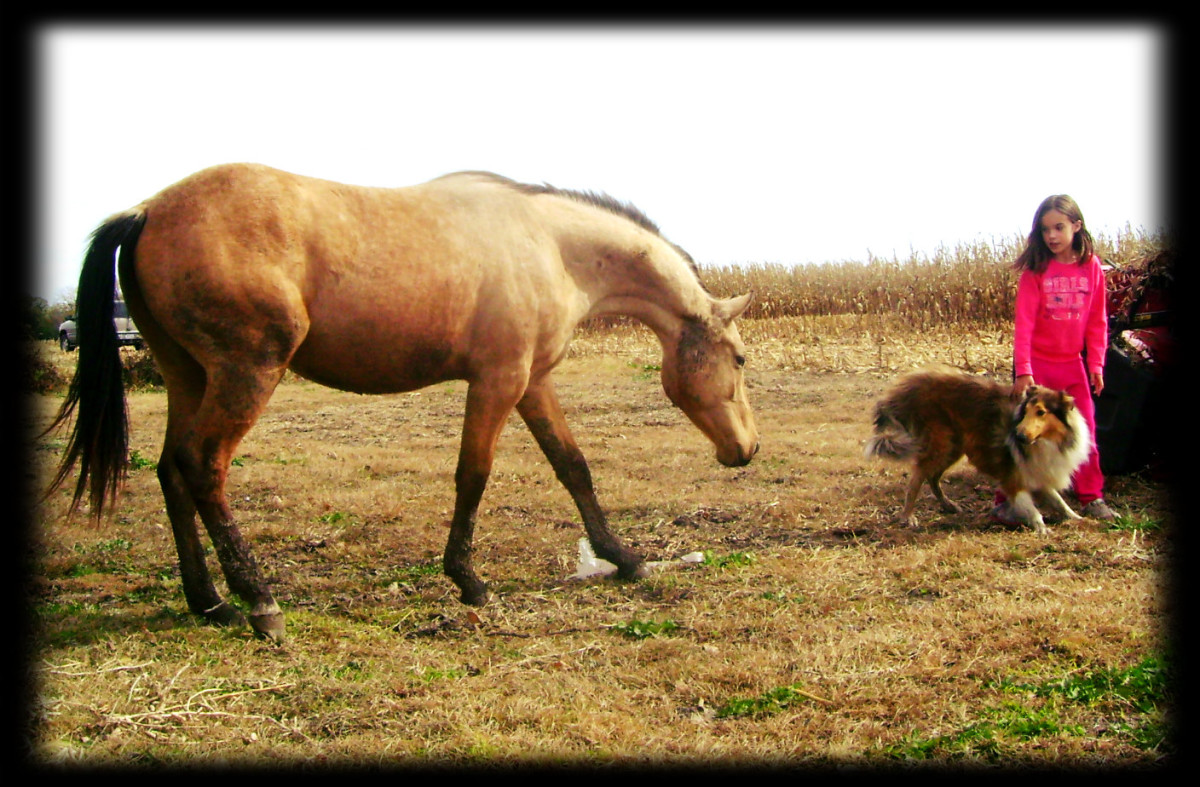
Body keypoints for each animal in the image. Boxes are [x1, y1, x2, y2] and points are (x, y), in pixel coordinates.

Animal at [49, 164, 758, 638]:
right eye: (741, 359)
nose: (747, 449)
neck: (553, 247)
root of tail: (146, 210)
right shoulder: (498, 381)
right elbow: (474, 475)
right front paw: (469, 581)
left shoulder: (532, 382)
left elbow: (573, 466)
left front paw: (624, 557)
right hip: (245, 373)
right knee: (204, 467)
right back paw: (259, 603)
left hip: (187, 376)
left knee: (171, 470)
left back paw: (209, 601)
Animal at [868, 364, 1094, 532]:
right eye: (1026, 411)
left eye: (1041, 412)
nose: (1018, 436)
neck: (1046, 441)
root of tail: (914, 384)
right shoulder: (1013, 475)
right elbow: (1030, 506)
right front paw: (1041, 527)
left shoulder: (1038, 471)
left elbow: (1059, 501)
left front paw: (1077, 517)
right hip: (940, 446)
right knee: (916, 479)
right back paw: (908, 517)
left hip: (953, 448)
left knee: (932, 477)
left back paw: (948, 505)